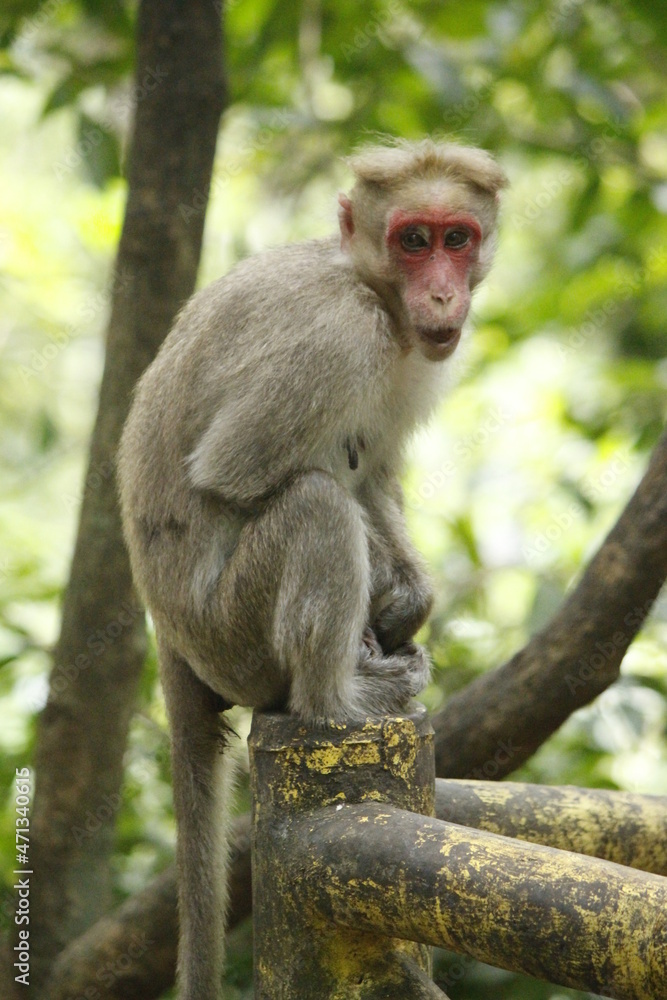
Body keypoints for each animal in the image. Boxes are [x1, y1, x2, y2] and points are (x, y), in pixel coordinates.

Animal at [117, 138, 506, 1000]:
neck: (372, 289)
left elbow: (377, 471)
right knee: (314, 504)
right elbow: (238, 474)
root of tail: (168, 636)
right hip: (232, 636)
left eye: (456, 238)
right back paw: (340, 698)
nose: (441, 291)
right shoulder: (339, 337)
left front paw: (407, 599)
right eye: (412, 240)